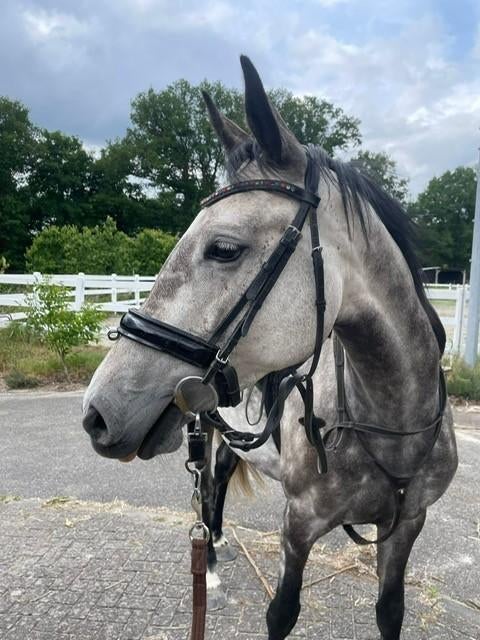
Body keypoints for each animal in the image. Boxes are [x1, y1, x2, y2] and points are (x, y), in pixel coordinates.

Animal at [82, 56, 458, 639]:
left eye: (224, 248)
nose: (98, 411)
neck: (392, 423)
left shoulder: (407, 527)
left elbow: (390, 611)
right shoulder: (297, 526)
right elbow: (282, 613)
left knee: (216, 479)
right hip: (204, 428)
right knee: (207, 489)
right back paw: (210, 560)